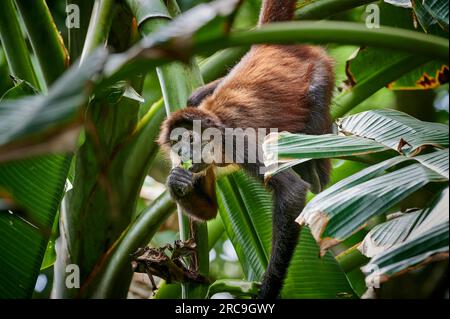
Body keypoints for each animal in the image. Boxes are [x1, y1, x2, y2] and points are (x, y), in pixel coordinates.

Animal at [158, 0, 334, 300]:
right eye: (176, 147)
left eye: (189, 141)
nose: (183, 155)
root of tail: (267, 46)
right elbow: (209, 212)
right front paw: (176, 181)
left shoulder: (235, 141)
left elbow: (292, 192)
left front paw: (268, 289)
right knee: (195, 97)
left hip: (320, 71)